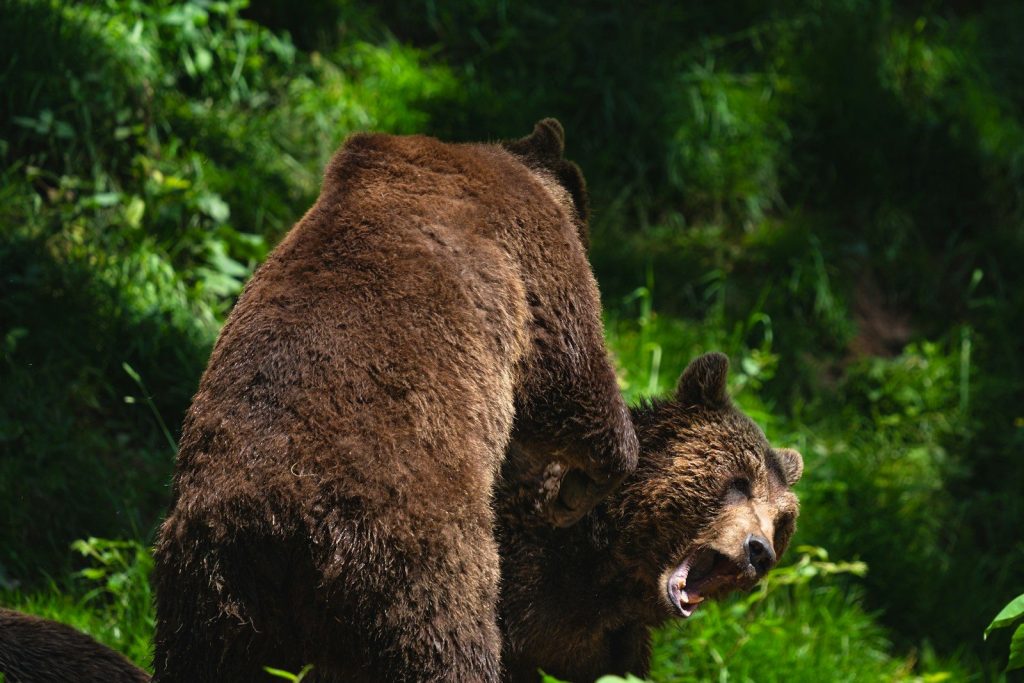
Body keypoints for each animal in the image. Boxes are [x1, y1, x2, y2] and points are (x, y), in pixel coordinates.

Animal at [151, 119, 638, 682]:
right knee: (450, 649)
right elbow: (573, 376)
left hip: (212, 606)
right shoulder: (532, 263)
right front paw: (583, 484)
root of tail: (278, 532)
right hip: (412, 575)